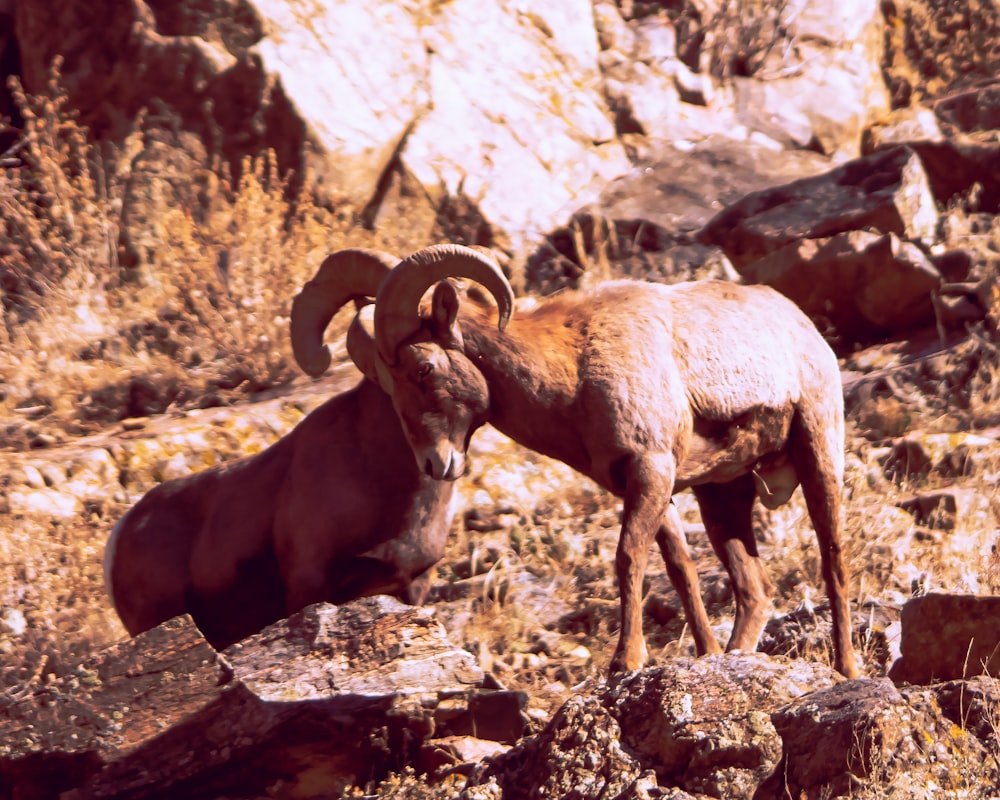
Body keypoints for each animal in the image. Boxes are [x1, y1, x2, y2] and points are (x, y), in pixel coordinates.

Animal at [304, 242, 860, 676]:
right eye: (387, 382)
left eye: (423, 368)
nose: (434, 463)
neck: (573, 372)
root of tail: (801, 325)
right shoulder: (652, 488)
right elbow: (679, 570)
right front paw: (704, 657)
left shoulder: (651, 471)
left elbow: (628, 558)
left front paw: (625, 662)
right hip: (723, 497)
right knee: (754, 590)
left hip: (818, 457)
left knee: (833, 561)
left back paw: (845, 669)